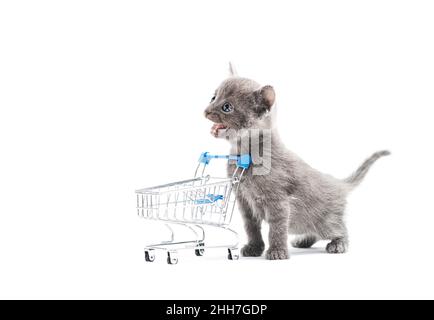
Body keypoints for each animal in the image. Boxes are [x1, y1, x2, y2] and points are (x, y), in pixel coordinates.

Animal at [203, 64, 390, 260]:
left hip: (325, 221)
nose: (206, 110)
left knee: (340, 229)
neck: (245, 156)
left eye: (227, 107)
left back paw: (338, 244)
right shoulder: (244, 202)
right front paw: (254, 247)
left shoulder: (278, 202)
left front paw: (277, 251)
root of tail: (338, 183)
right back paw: (303, 240)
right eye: (213, 97)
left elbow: (277, 228)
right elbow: (251, 227)